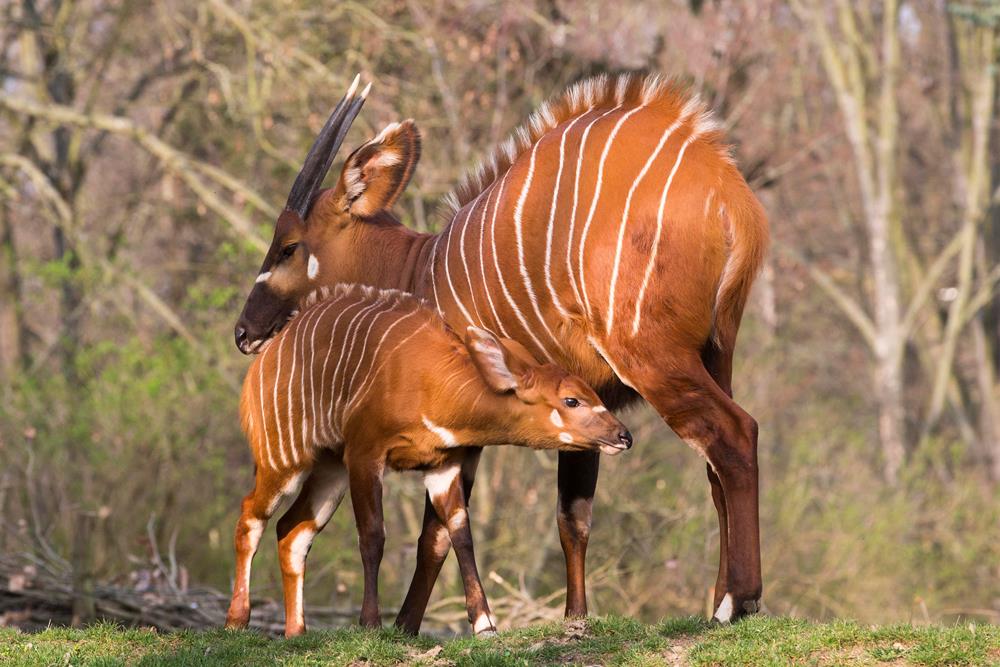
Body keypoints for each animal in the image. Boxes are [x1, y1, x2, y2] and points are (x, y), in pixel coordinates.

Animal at [229, 284, 632, 636]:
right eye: (571, 400)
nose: (623, 436)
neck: (436, 385)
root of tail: (263, 362)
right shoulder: (365, 455)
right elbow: (373, 536)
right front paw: (370, 623)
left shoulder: (443, 466)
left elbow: (461, 535)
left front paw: (485, 625)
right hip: (282, 459)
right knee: (251, 515)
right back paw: (237, 620)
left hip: (329, 473)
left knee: (292, 531)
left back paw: (296, 632)